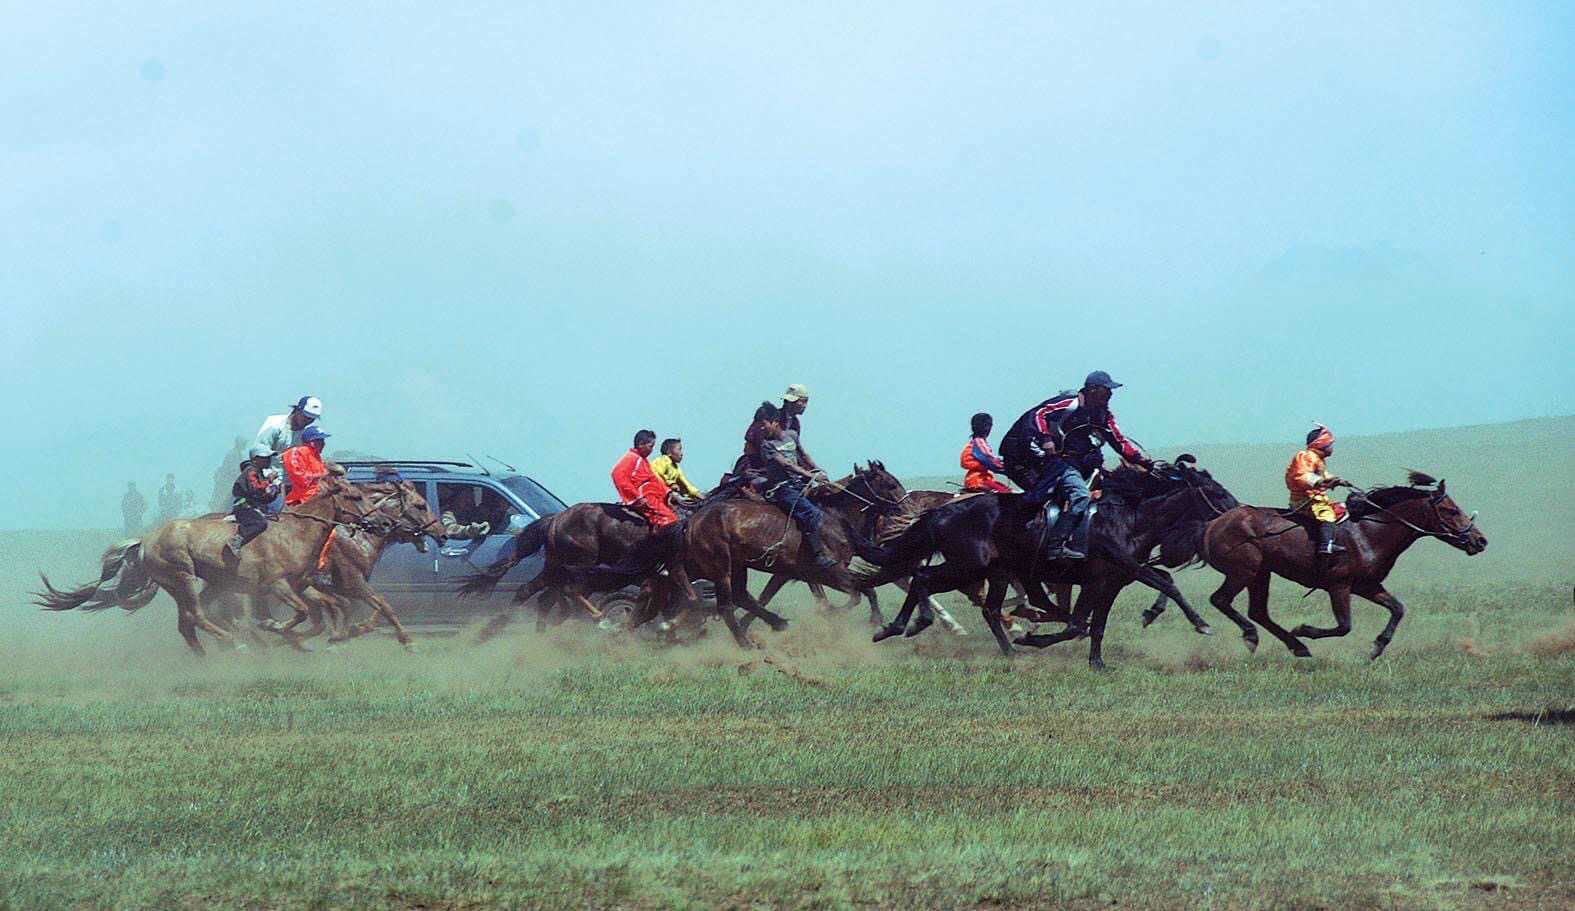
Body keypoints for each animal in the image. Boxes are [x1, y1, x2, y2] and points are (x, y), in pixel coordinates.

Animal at [37, 475, 444, 652]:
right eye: (420, 504)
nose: (442, 533)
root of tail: (146, 540)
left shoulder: (309, 584)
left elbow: (337, 610)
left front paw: (331, 635)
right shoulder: (302, 583)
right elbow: (371, 605)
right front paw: (404, 640)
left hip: (207, 584)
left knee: (189, 624)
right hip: (183, 577)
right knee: (201, 617)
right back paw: (239, 644)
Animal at [856, 457, 1234, 661]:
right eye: (1216, 492)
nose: (1238, 513)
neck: (1128, 517)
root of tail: (941, 512)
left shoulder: (1114, 579)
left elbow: (1096, 621)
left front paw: (1096, 660)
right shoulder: (1102, 577)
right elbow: (1079, 621)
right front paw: (1201, 623)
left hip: (992, 571)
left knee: (985, 607)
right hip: (967, 566)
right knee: (923, 579)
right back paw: (910, 624)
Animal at [1197, 472, 1480, 655]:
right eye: (1451, 510)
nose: (1480, 540)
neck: (1369, 532)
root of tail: (1213, 524)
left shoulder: (1367, 586)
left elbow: (1398, 609)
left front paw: (1378, 646)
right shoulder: (1339, 586)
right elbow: (1345, 626)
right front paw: (1304, 629)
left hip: (1261, 574)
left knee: (1258, 612)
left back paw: (1296, 646)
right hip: (1243, 571)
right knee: (1220, 600)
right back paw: (1255, 636)